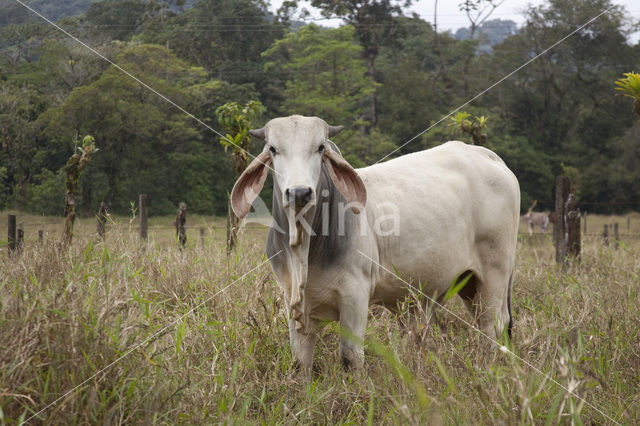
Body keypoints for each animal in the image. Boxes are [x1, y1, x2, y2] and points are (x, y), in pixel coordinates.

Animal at [230, 115, 520, 372]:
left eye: (320, 147)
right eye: (273, 149)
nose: (299, 192)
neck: (305, 249)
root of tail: (487, 155)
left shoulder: (355, 295)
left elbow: (350, 357)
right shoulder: (292, 298)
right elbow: (300, 362)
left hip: (495, 273)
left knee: (494, 327)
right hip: (468, 283)